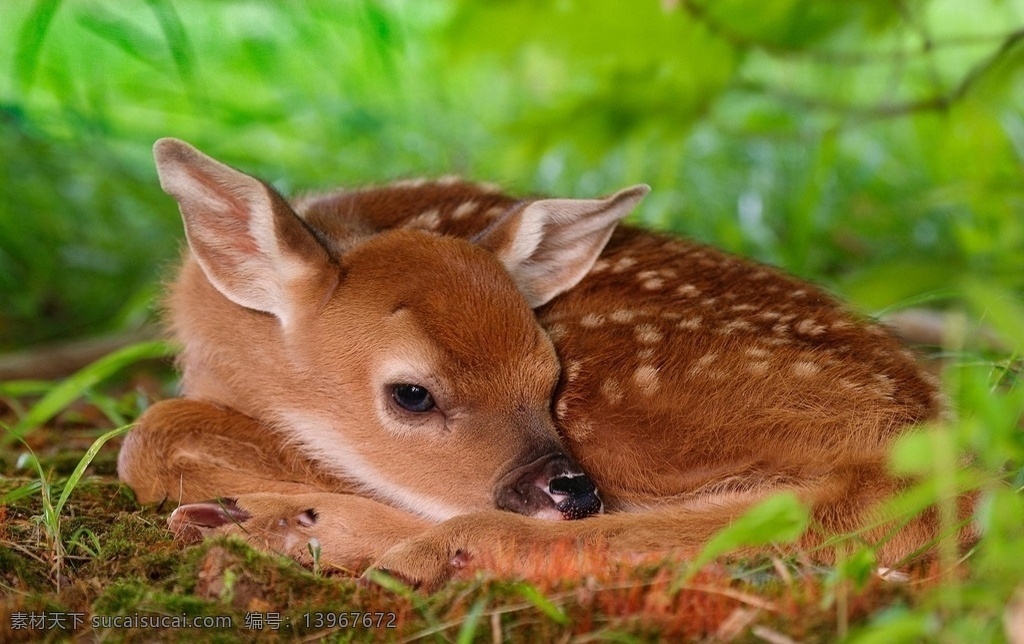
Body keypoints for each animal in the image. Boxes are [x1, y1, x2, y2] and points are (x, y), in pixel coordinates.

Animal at [117, 137, 973, 591]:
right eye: (413, 395)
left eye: (546, 375)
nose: (570, 490)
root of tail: (927, 439)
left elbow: (148, 440)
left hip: (634, 413)